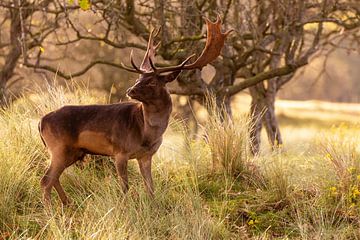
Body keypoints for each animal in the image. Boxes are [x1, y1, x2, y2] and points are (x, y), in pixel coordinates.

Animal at [38, 15, 231, 205]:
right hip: (59, 147)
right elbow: (125, 187)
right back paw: (51, 210)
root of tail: (41, 122)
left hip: (73, 152)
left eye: (151, 81)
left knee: (54, 178)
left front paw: (153, 206)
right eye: (139, 78)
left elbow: (150, 188)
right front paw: (127, 207)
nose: (130, 90)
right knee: (46, 180)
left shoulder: (146, 155)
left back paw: (66, 203)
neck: (146, 133)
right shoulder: (120, 152)